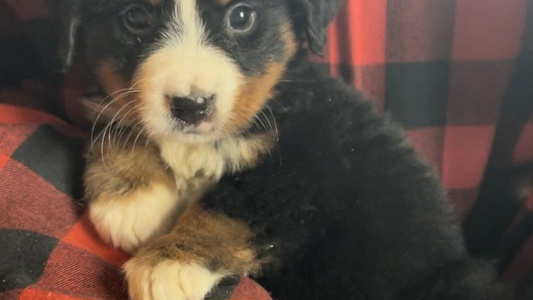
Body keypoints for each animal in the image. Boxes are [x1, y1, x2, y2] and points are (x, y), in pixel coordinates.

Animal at [57, 0, 508, 300]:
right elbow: (117, 117)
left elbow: (235, 205)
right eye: (136, 17)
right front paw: (131, 197)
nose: (191, 106)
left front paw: (169, 263)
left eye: (241, 17)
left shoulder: (311, 165)